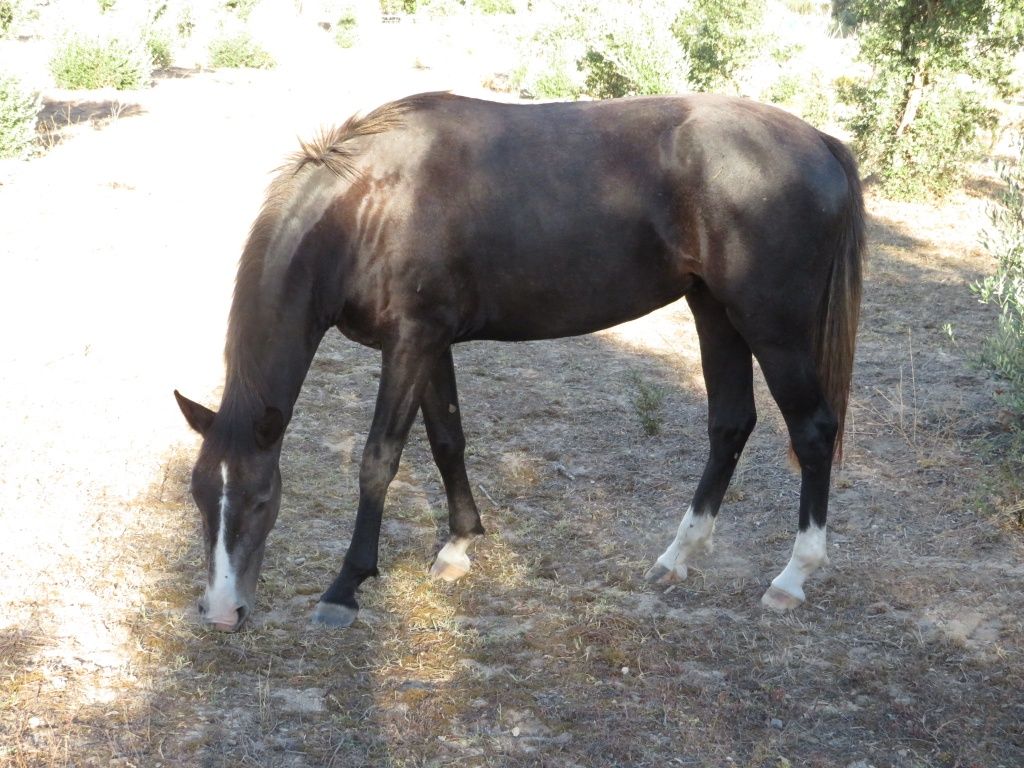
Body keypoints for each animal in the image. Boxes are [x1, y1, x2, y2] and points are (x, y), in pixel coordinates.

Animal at [172, 91, 860, 630]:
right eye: (201, 496)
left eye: (261, 499)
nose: (222, 613)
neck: (371, 203)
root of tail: (822, 143)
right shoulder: (429, 344)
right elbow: (446, 439)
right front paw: (458, 544)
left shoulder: (411, 343)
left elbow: (378, 461)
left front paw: (346, 587)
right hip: (714, 310)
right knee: (730, 425)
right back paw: (677, 557)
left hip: (772, 325)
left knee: (812, 431)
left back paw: (792, 577)